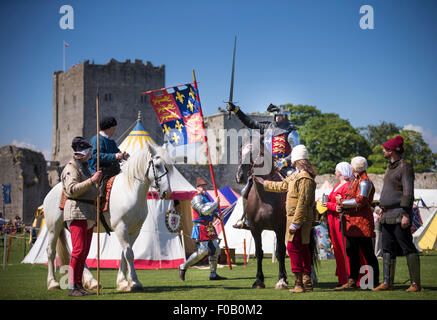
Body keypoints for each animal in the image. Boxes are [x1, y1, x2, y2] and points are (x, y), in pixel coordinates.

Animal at [41, 145, 170, 292]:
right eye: (158, 166)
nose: (166, 192)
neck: (129, 191)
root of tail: (51, 192)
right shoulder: (121, 227)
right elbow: (129, 253)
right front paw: (134, 282)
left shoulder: (134, 230)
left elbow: (125, 253)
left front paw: (123, 282)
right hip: (54, 228)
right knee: (51, 251)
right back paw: (53, 283)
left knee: (78, 252)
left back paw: (91, 282)